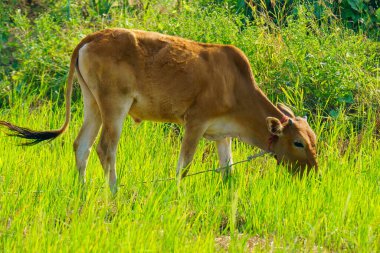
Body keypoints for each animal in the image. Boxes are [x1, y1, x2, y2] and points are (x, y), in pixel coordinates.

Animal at [0, 28, 318, 193]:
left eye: (313, 140)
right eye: (298, 143)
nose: (314, 172)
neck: (235, 85)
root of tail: (93, 36)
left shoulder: (222, 135)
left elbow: (227, 170)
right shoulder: (195, 123)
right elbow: (184, 166)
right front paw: (178, 195)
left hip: (92, 104)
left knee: (82, 146)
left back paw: (83, 191)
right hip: (114, 106)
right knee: (105, 148)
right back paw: (114, 193)